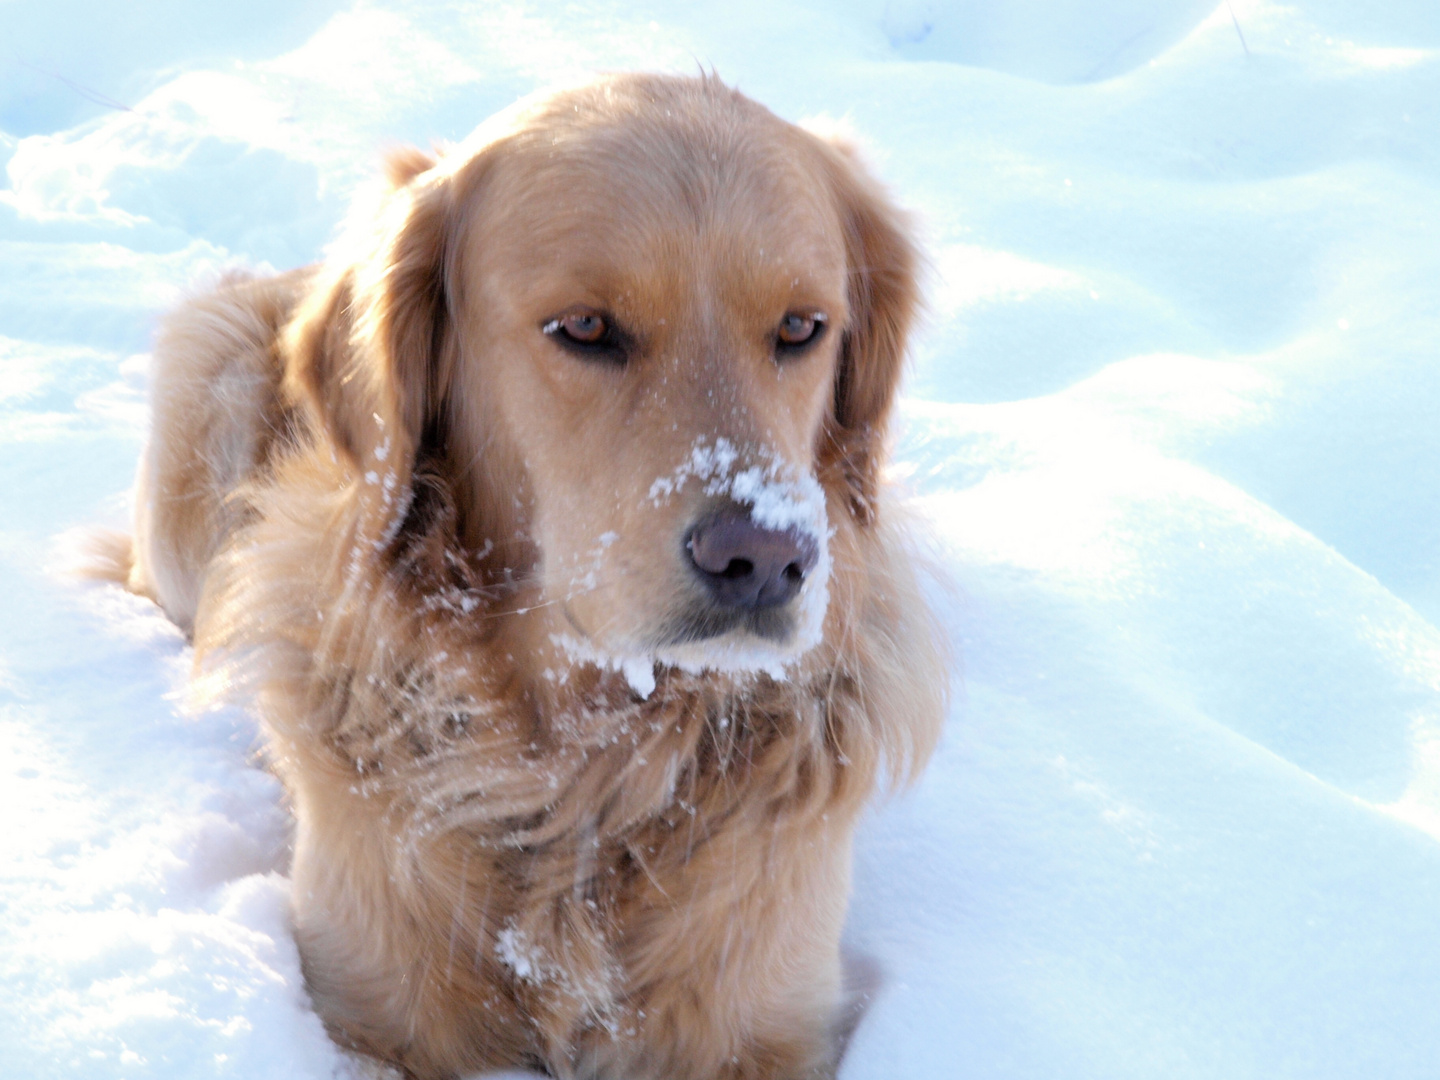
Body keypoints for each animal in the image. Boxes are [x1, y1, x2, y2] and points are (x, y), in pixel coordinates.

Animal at [115, 72, 944, 1077]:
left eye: (800, 328)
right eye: (583, 327)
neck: (583, 770)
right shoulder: (368, 1013)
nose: (766, 560)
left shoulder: (764, 1021)